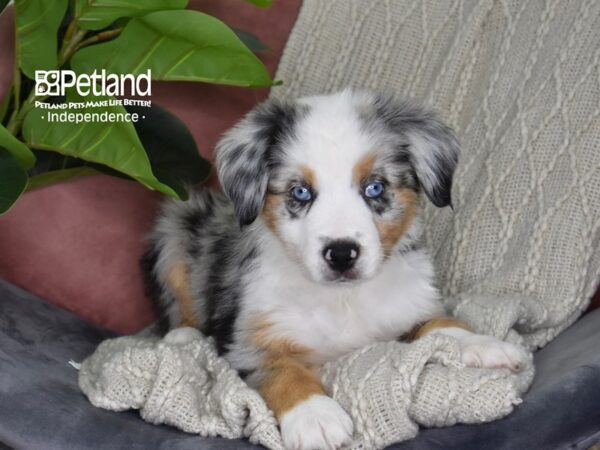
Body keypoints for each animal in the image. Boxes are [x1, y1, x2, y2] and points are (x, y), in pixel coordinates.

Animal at [143, 89, 528, 448]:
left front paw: (485, 346)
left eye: (375, 187)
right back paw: (183, 336)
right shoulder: (248, 341)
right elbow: (282, 369)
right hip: (175, 231)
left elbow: (441, 325)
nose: (342, 254)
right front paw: (315, 417)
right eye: (300, 192)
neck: (343, 299)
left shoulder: (408, 307)